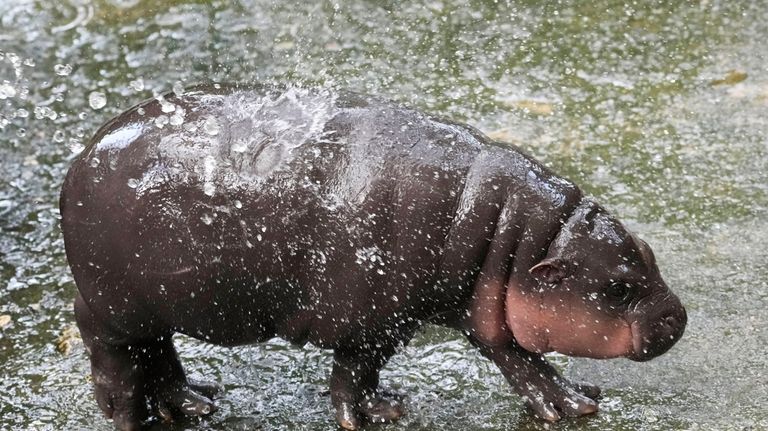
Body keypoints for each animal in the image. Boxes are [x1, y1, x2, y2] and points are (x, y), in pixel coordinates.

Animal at [58, 82, 684, 430]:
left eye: (648, 253)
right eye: (619, 287)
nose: (678, 316)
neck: (511, 237)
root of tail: (80, 158)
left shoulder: (486, 308)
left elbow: (522, 361)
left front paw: (575, 403)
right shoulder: (375, 321)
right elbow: (353, 375)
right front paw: (380, 414)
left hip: (150, 308)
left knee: (158, 354)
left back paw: (197, 404)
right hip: (114, 310)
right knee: (118, 368)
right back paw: (138, 419)